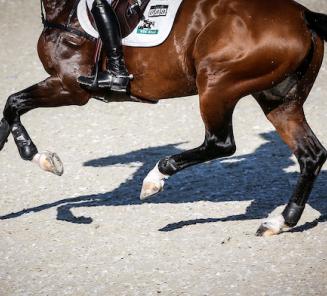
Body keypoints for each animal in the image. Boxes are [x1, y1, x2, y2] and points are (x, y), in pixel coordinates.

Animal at [0, 0, 327, 236]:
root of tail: (303, 15)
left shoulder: (69, 87)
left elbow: (13, 104)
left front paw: (40, 158)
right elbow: (9, 110)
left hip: (217, 82)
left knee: (221, 143)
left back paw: (155, 179)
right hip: (278, 100)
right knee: (311, 154)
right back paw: (281, 222)